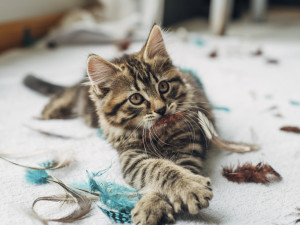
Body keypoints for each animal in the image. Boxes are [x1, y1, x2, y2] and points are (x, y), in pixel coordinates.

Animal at [25, 24, 213, 225]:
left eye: (163, 87)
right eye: (136, 98)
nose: (162, 109)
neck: (157, 133)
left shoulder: (187, 147)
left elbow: (172, 170)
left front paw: (168, 197)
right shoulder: (131, 155)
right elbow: (158, 168)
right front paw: (156, 203)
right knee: (68, 91)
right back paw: (51, 110)